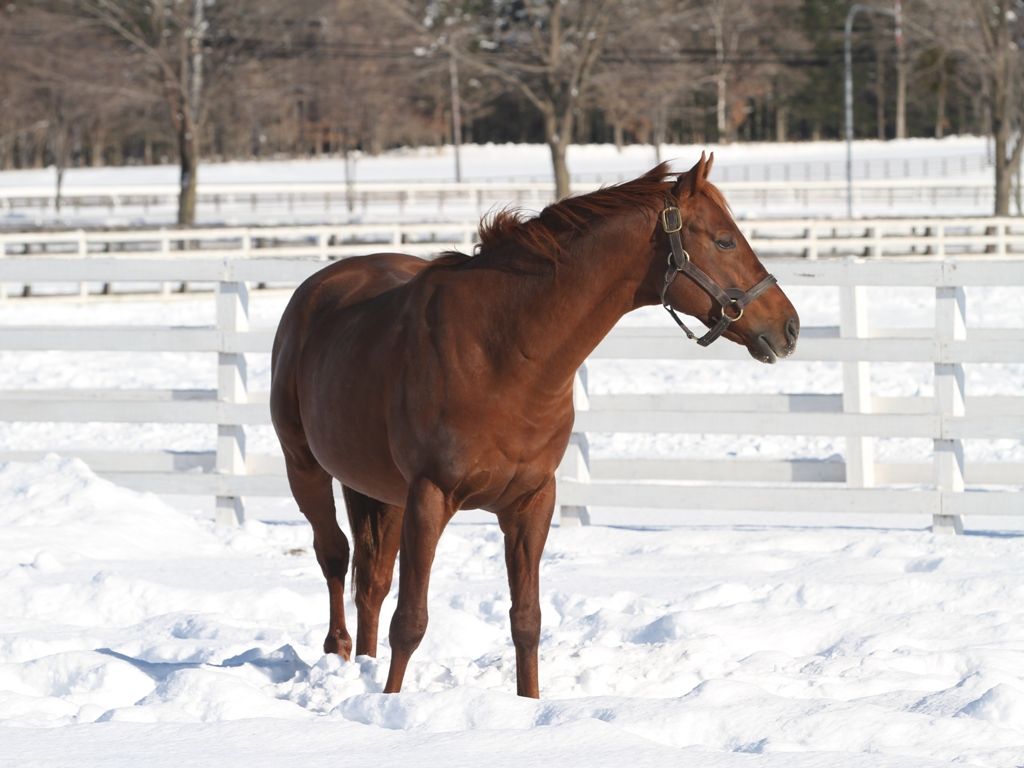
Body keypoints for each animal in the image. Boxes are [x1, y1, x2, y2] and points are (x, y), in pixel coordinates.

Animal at [270, 153, 798, 700]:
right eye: (724, 240)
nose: (789, 327)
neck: (502, 353)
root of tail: (321, 286)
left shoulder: (531, 502)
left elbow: (526, 620)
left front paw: (530, 705)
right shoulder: (430, 497)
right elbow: (411, 622)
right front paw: (391, 702)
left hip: (382, 492)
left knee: (372, 580)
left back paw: (363, 664)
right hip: (305, 468)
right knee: (334, 555)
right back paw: (340, 651)